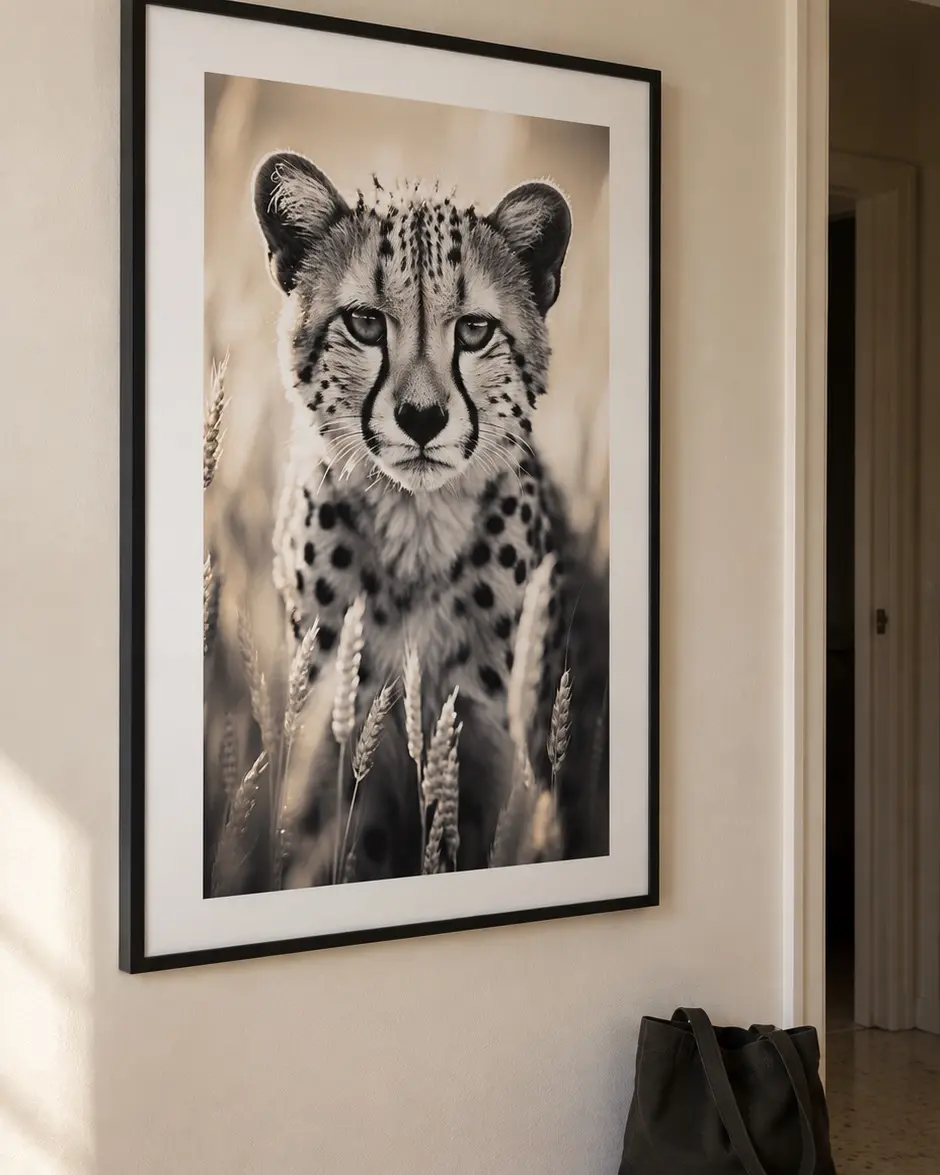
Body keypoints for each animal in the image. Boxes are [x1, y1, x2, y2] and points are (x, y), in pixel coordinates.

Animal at [252, 150, 609, 886]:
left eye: (474, 330)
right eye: (364, 322)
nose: (422, 418)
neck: (415, 531)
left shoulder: (496, 754)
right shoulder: (334, 744)